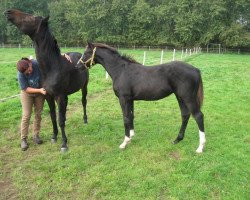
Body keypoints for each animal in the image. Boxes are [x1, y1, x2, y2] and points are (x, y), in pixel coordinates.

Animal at [4, 8, 89, 151]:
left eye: (31, 18)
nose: (8, 12)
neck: (52, 68)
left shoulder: (59, 96)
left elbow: (59, 120)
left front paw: (64, 143)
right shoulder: (48, 96)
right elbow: (54, 117)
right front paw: (54, 137)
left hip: (84, 87)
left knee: (83, 102)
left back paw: (85, 119)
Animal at [76, 42, 205, 153]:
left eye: (86, 52)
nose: (78, 66)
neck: (121, 70)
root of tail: (196, 69)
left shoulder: (123, 99)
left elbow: (126, 118)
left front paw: (125, 142)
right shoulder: (130, 100)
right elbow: (131, 116)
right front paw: (131, 136)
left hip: (188, 98)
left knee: (198, 116)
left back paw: (200, 147)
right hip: (180, 97)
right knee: (185, 115)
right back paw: (177, 139)